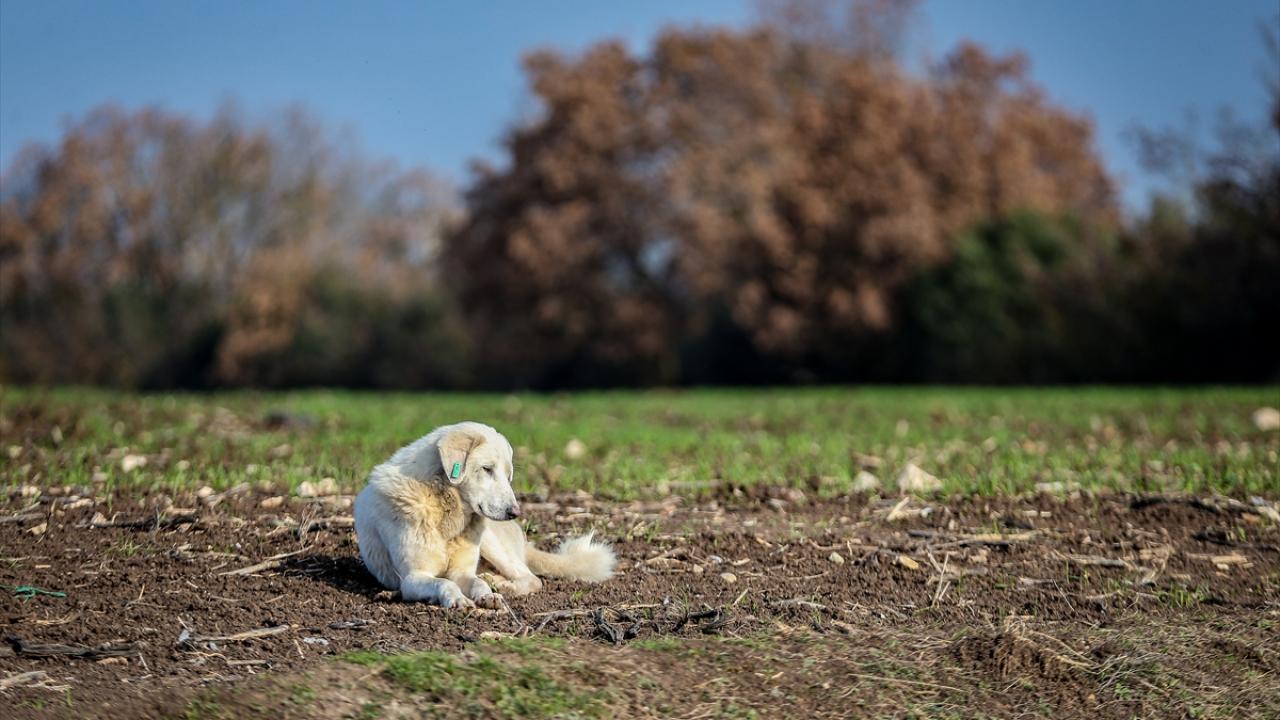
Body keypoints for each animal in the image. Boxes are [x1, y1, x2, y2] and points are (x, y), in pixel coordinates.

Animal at [353, 421, 615, 608]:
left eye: (508, 475)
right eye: (487, 469)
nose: (515, 512)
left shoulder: (462, 572)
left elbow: (475, 582)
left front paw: (488, 595)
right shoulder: (413, 577)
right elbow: (444, 583)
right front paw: (458, 599)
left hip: (491, 542)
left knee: (531, 578)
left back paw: (500, 585)